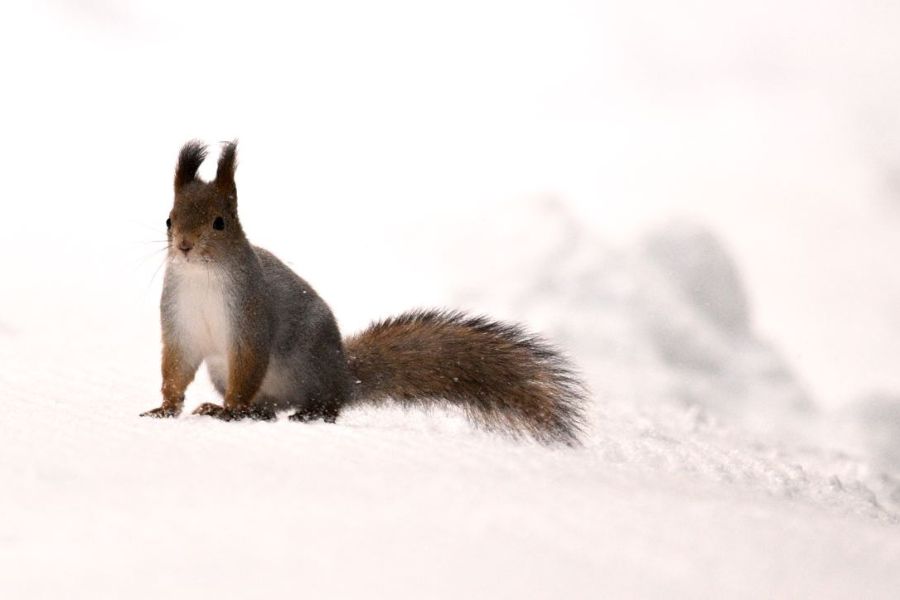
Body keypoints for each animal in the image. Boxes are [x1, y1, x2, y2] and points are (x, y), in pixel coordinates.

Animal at [141, 138, 588, 442]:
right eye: (168, 219)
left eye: (220, 223)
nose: (184, 246)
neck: (202, 276)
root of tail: (344, 377)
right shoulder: (179, 322)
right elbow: (176, 368)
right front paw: (165, 409)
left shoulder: (251, 316)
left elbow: (249, 364)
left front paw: (228, 412)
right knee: (269, 407)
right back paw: (256, 413)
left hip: (308, 364)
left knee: (327, 405)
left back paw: (303, 413)